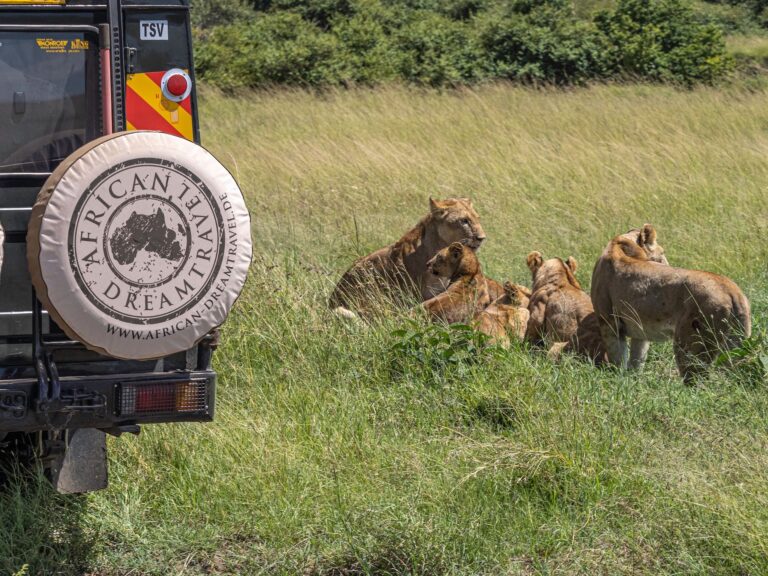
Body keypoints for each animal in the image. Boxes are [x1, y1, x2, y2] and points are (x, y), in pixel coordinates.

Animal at [591, 224, 751, 382]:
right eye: (662, 253)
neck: (620, 243)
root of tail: (731, 290)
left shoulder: (609, 323)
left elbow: (618, 358)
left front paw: (618, 378)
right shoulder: (639, 330)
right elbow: (637, 359)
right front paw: (632, 379)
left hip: (690, 345)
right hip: (735, 345)